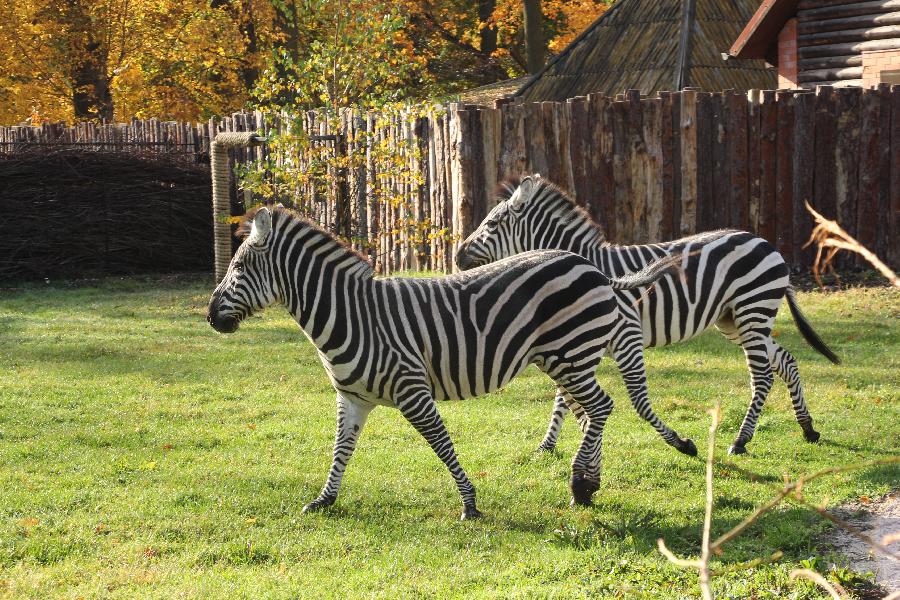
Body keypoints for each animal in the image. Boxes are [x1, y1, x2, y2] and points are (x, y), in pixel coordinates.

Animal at [206, 204, 684, 516]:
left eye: (239, 268)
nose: (210, 317)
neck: (351, 315)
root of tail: (594, 267)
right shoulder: (352, 397)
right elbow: (341, 448)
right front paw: (325, 499)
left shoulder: (411, 389)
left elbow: (441, 443)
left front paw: (469, 503)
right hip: (565, 359)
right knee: (590, 413)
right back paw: (589, 485)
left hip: (570, 353)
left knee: (600, 408)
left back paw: (580, 484)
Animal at [458, 176, 844, 458]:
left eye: (492, 223)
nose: (457, 255)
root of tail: (766, 242)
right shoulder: (575, 343)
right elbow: (563, 397)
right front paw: (548, 445)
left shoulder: (623, 335)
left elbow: (633, 401)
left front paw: (680, 443)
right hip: (735, 320)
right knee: (786, 362)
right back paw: (808, 428)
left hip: (752, 312)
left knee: (762, 375)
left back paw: (741, 440)